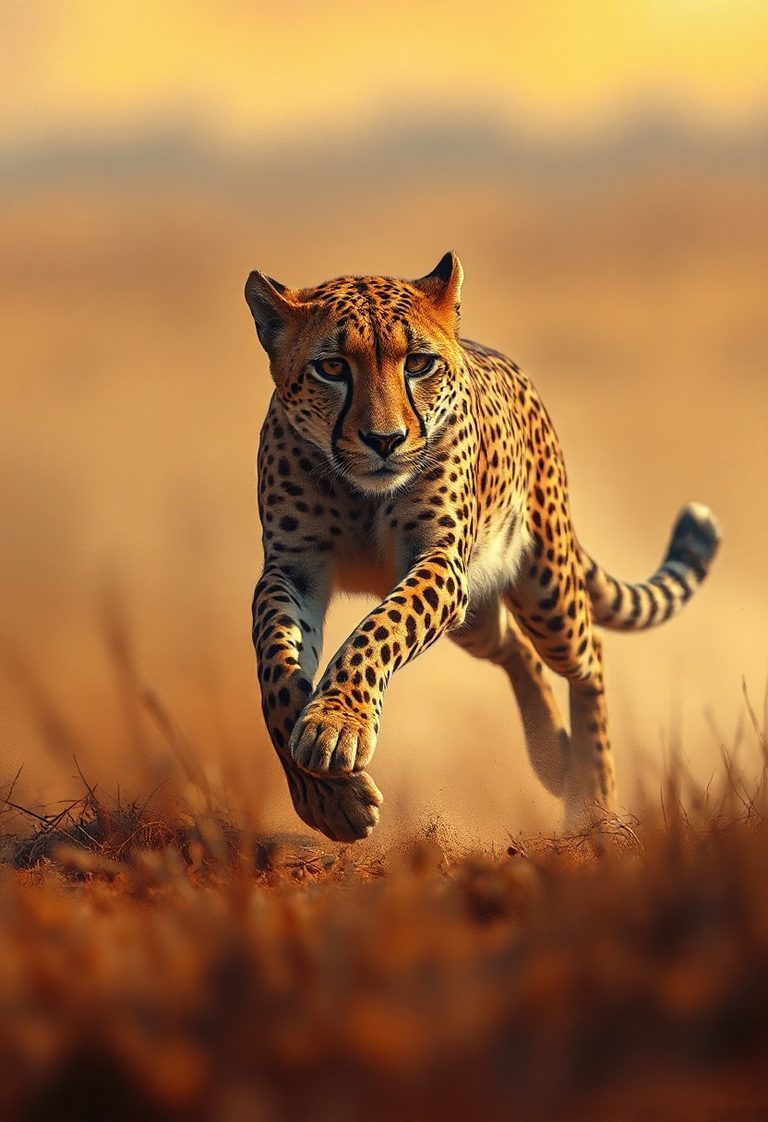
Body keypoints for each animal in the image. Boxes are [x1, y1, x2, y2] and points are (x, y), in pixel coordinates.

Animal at [244, 253, 720, 842]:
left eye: (418, 363)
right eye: (332, 368)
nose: (385, 440)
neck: (361, 493)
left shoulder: (441, 564)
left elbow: (380, 629)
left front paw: (335, 724)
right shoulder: (293, 571)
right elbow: (277, 672)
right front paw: (329, 798)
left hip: (546, 591)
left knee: (588, 655)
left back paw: (595, 799)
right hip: (476, 616)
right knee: (515, 648)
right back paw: (553, 758)